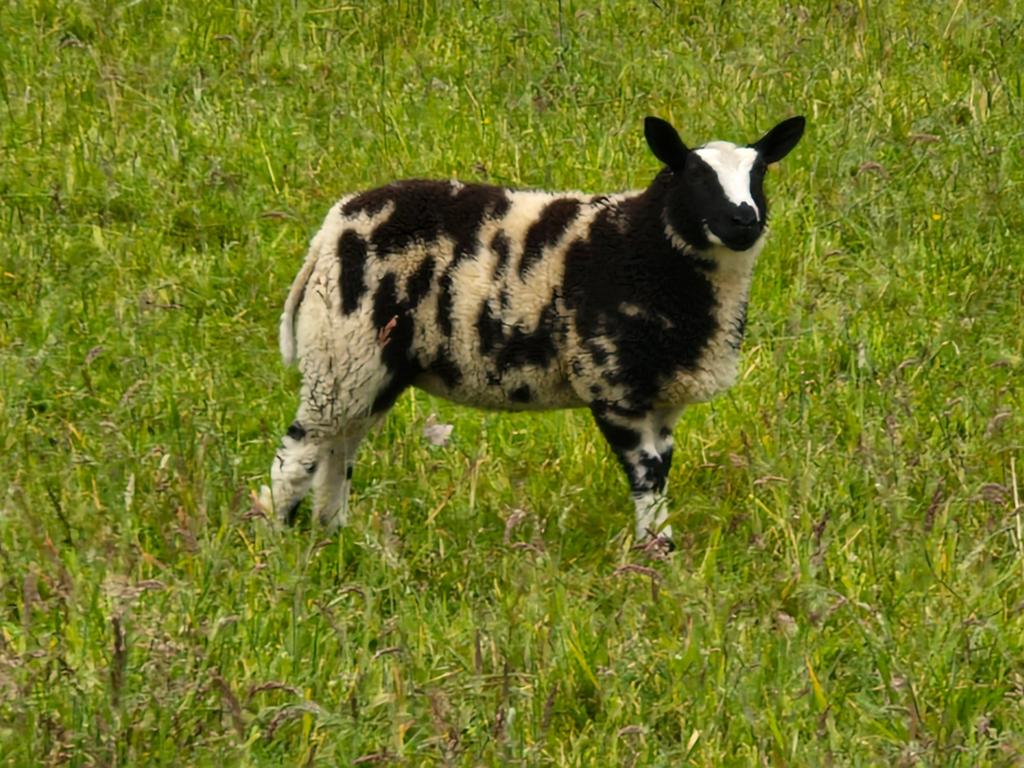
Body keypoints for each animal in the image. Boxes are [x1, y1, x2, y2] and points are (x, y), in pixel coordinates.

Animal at [257, 114, 805, 547]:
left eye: (760, 172)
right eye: (693, 176)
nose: (744, 220)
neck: (643, 243)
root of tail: (331, 229)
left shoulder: (661, 396)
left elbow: (662, 469)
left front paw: (659, 547)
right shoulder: (608, 382)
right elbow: (645, 473)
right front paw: (657, 553)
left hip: (370, 364)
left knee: (339, 448)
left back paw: (334, 534)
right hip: (341, 349)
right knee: (300, 452)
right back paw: (280, 544)